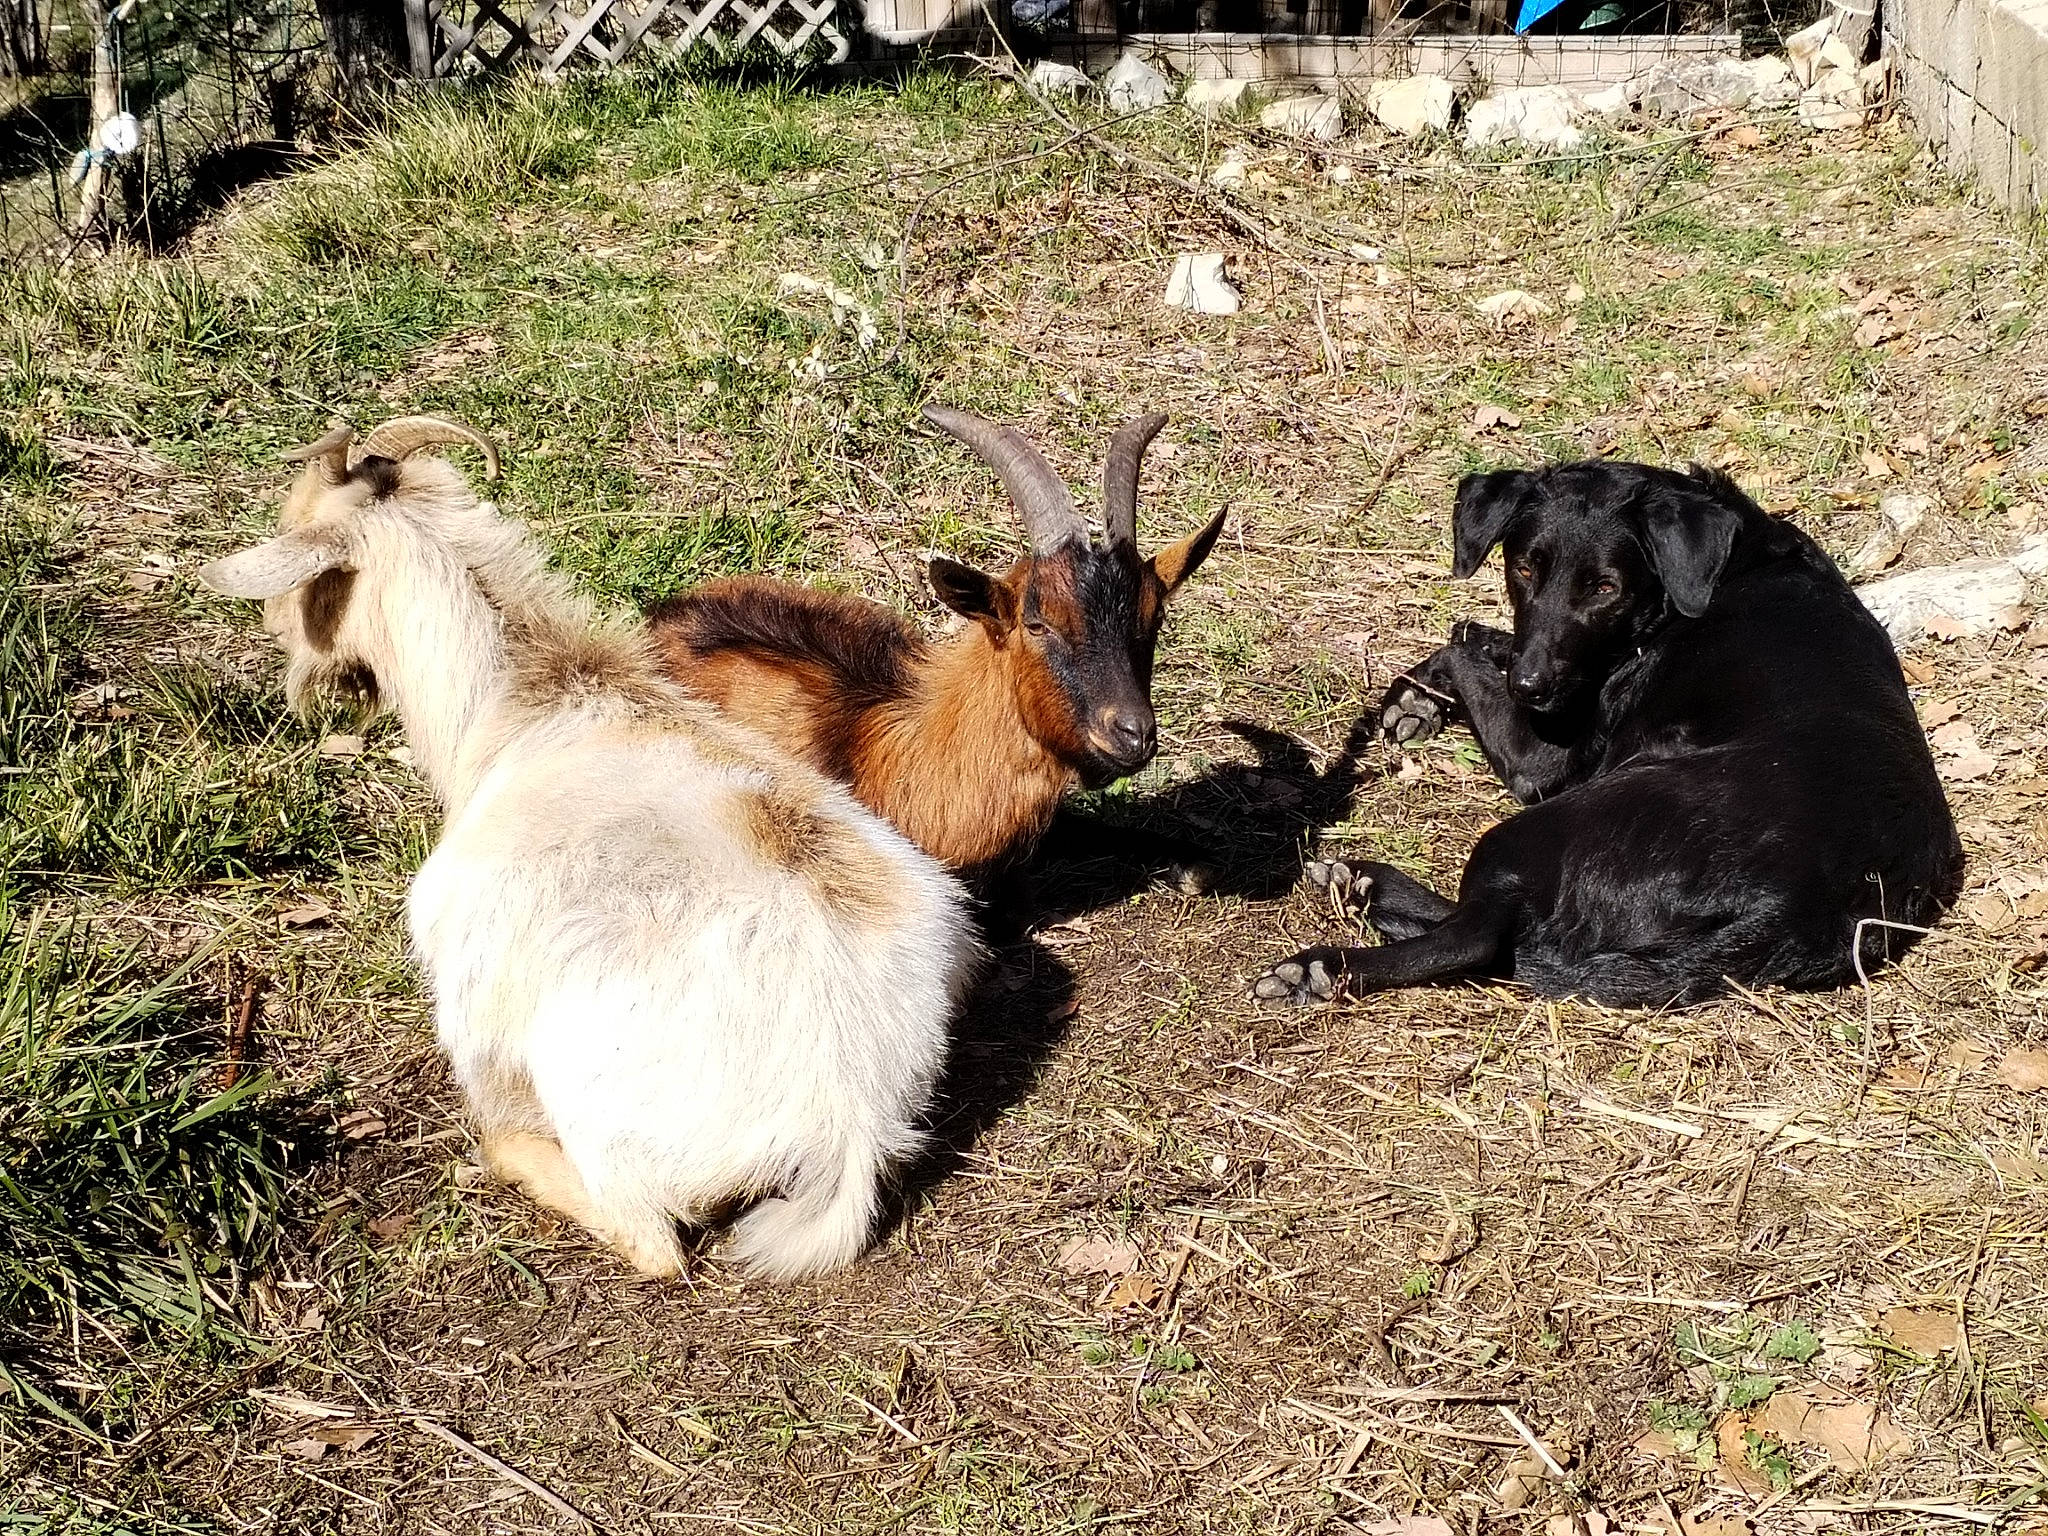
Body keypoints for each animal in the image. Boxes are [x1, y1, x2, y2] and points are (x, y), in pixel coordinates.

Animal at [199, 416, 978, 1280]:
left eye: (297, 539)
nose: (277, 637)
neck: (521, 709)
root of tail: (853, 1112)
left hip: (598, 1111)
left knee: (650, 1237)